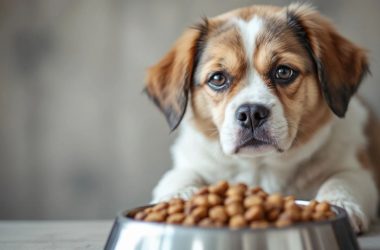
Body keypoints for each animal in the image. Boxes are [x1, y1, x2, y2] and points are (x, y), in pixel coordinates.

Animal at [144, 2, 378, 232]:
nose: (251, 114)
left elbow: (343, 179)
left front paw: (340, 203)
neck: (260, 165)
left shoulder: (358, 169)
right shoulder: (190, 161)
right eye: (217, 78)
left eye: (283, 72)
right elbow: (179, 176)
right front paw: (177, 198)